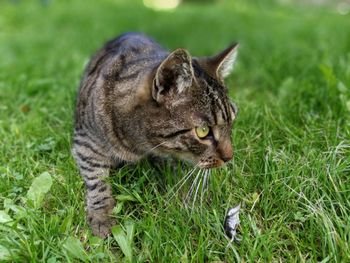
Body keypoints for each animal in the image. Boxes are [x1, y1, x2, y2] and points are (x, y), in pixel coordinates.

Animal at [72, 32, 239, 238]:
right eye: (203, 131)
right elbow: (97, 179)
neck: (138, 144)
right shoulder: (86, 140)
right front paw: (102, 215)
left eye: (232, 121)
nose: (230, 157)